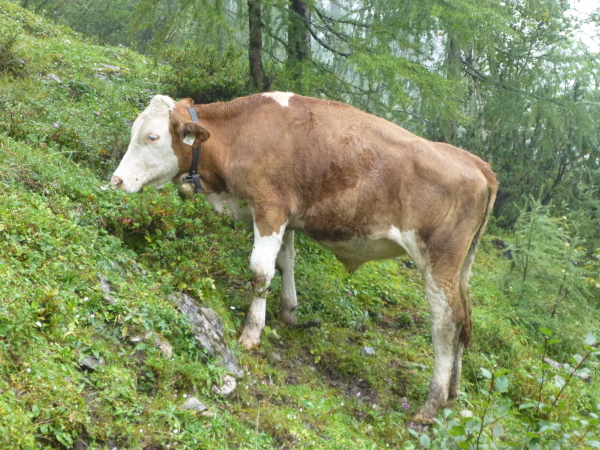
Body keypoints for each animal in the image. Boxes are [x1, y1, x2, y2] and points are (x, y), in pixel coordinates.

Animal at [110, 92, 497, 423]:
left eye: (153, 137)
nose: (116, 181)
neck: (242, 132)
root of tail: (476, 163)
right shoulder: (287, 217)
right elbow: (286, 262)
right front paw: (289, 312)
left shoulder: (270, 207)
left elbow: (260, 270)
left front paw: (252, 333)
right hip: (462, 268)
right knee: (464, 319)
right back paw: (453, 392)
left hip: (438, 259)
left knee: (445, 323)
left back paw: (430, 405)